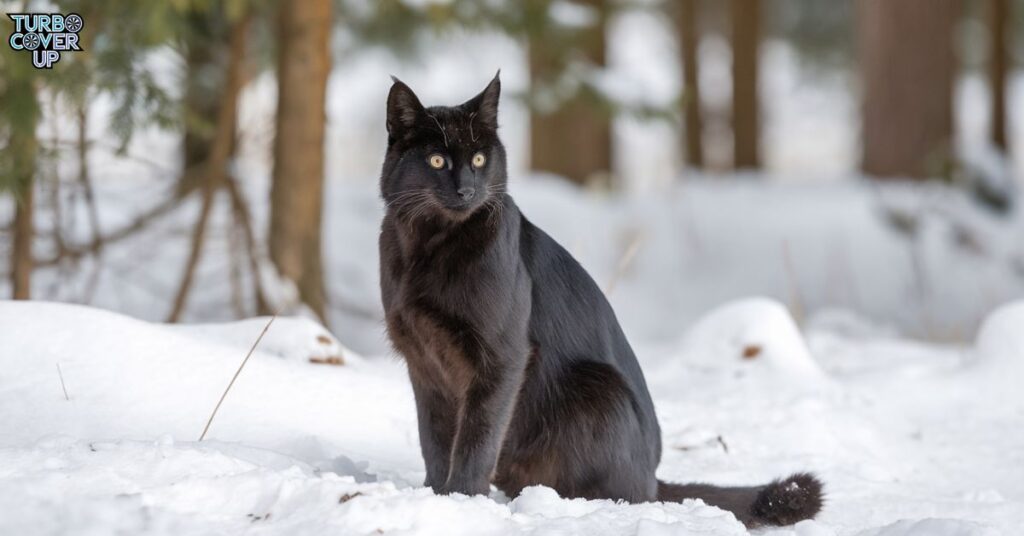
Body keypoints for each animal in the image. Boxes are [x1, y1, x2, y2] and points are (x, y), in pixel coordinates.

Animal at [378, 72, 823, 528]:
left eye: (480, 159)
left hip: (598, 388)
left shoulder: (502, 357)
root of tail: (654, 478)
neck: (429, 245)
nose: (467, 190)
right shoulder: (424, 361)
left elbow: (476, 436)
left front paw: (462, 499)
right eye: (437, 161)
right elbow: (434, 437)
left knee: (620, 493)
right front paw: (435, 495)